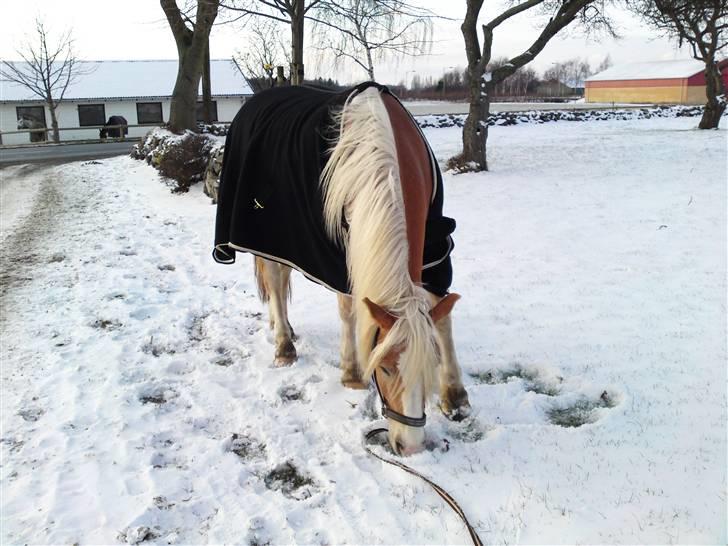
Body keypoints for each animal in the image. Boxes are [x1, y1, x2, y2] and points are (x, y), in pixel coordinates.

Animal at [213, 82, 470, 454]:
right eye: (386, 369)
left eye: (429, 366)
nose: (410, 446)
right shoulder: (335, 253)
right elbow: (350, 310)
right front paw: (351, 372)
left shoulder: (435, 247)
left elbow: (443, 318)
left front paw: (455, 396)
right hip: (269, 235)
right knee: (275, 281)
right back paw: (284, 346)